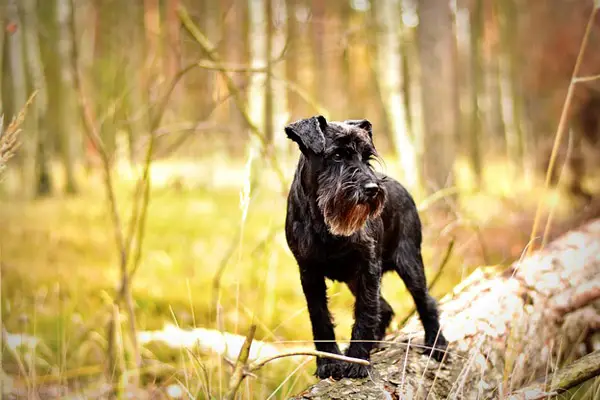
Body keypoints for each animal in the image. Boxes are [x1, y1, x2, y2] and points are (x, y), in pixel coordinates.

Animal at [284, 115, 448, 378]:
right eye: (337, 155)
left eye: (367, 156)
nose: (372, 189)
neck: (324, 223)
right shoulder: (309, 273)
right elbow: (319, 317)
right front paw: (329, 362)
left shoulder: (367, 268)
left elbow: (365, 311)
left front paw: (357, 360)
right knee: (387, 308)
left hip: (410, 263)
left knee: (426, 301)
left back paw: (436, 345)